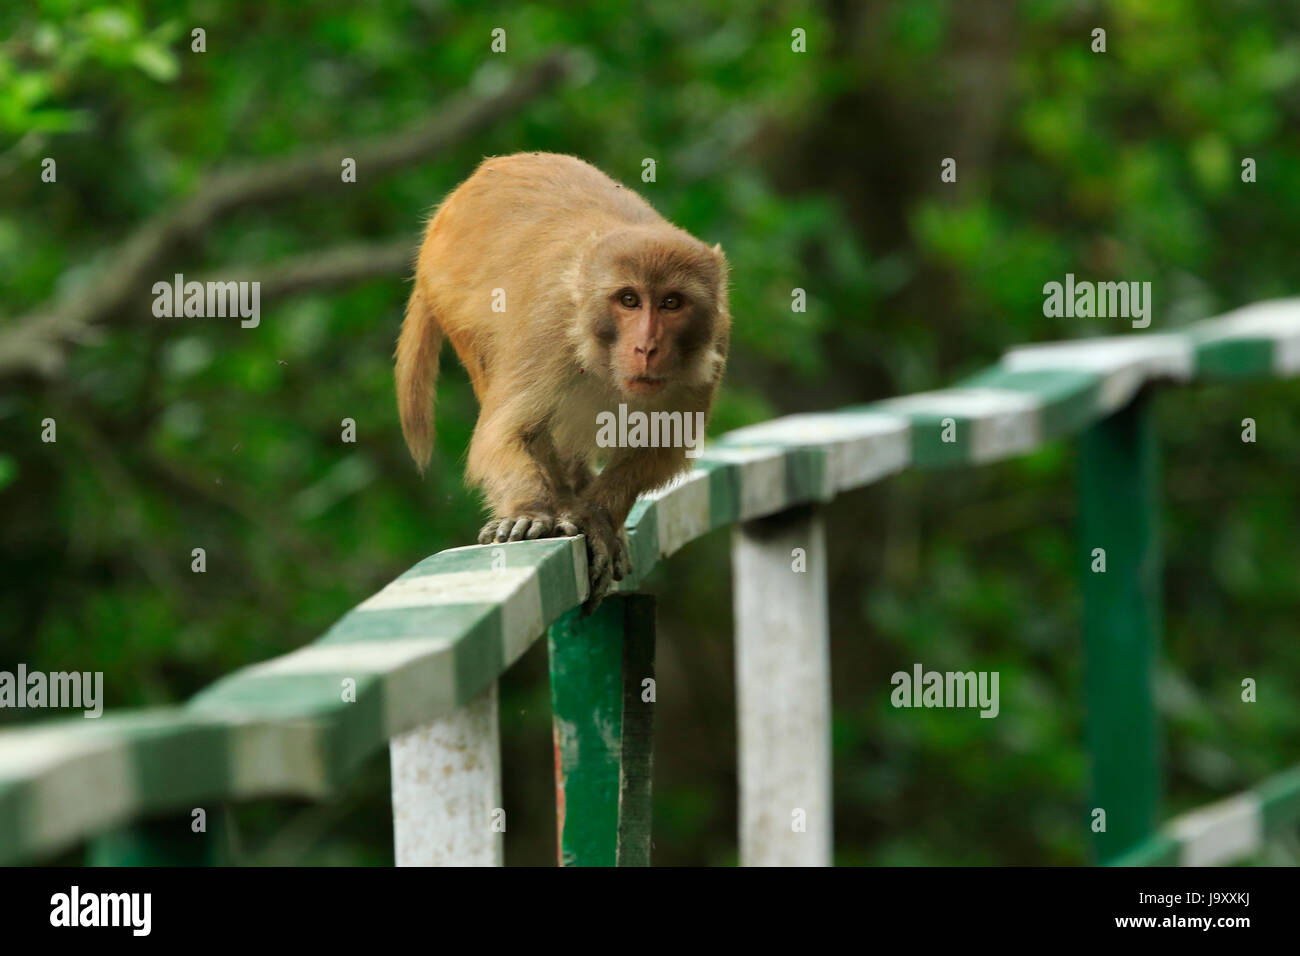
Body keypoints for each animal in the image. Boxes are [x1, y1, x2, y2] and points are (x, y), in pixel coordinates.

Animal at [395, 152, 731, 610]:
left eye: (671, 303)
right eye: (629, 300)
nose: (646, 347)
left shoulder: (713, 347)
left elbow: (657, 449)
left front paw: (596, 517)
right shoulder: (550, 328)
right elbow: (504, 433)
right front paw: (530, 510)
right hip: (448, 296)